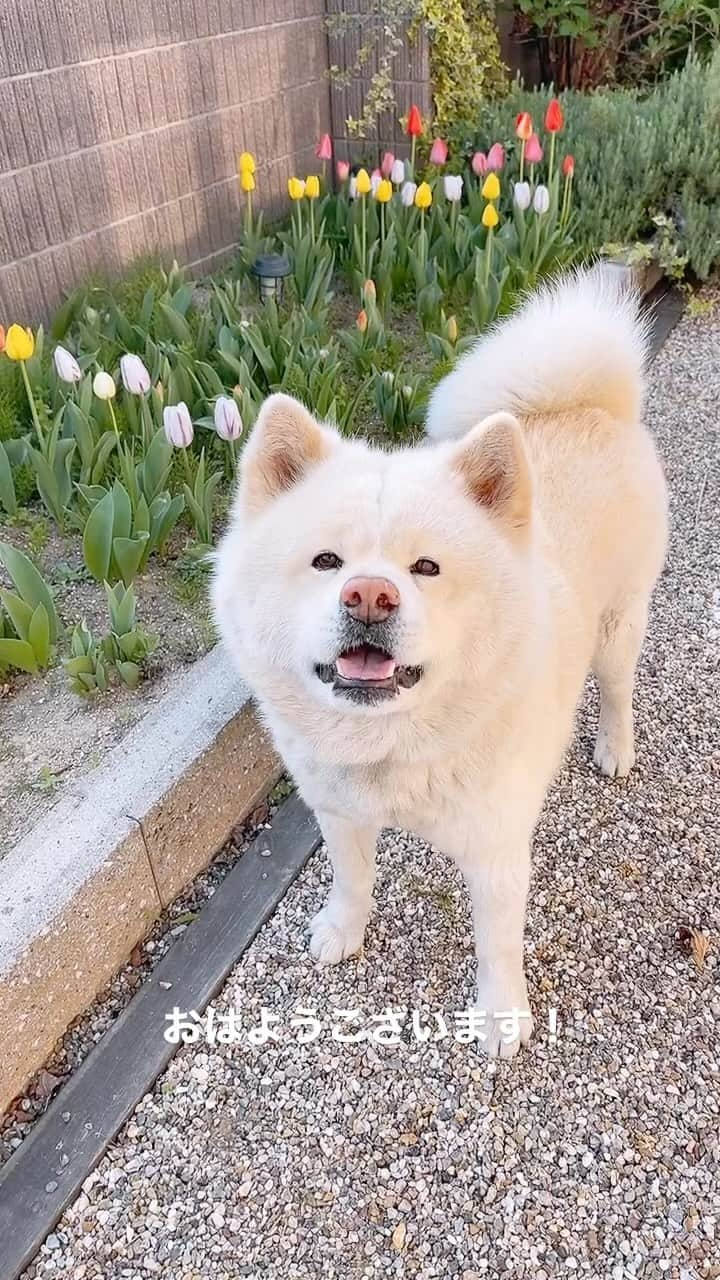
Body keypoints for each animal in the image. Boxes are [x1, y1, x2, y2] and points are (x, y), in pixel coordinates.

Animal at [211, 267, 666, 1049]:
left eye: (426, 568)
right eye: (327, 562)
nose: (369, 595)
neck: (392, 750)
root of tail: (590, 405)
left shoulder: (497, 852)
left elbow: (497, 944)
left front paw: (501, 1016)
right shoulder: (340, 813)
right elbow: (352, 879)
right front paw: (344, 931)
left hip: (618, 627)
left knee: (617, 689)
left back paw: (614, 747)